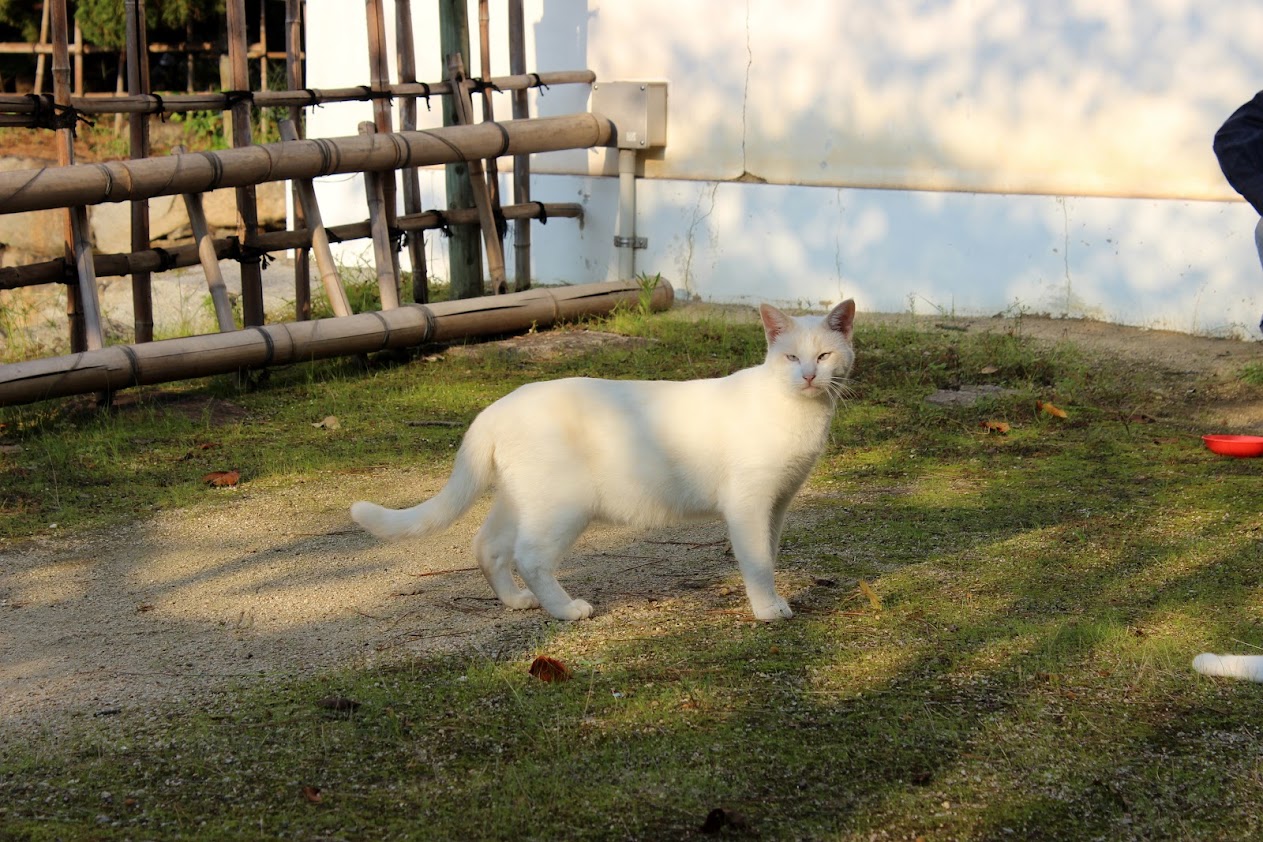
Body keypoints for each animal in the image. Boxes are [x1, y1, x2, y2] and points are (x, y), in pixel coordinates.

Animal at [351, 301, 853, 618]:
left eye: (824, 355)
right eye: (791, 357)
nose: (809, 376)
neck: (799, 413)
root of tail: (497, 406)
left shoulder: (778, 503)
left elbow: (769, 553)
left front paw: (773, 600)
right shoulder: (748, 503)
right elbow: (757, 560)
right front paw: (768, 610)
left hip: (521, 500)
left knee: (488, 547)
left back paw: (516, 602)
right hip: (562, 507)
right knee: (530, 556)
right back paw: (565, 610)